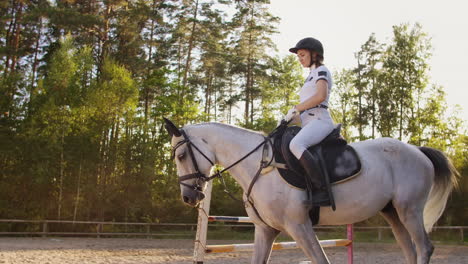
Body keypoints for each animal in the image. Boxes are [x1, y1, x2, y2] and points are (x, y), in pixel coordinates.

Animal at [164, 119, 458, 264]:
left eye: (180, 155)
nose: (189, 197)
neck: (259, 166)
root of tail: (417, 150)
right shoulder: (265, 230)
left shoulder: (299, 226)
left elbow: (320, 260)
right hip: (393, 213)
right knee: (411, 251)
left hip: (410, 210)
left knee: (424, 248)